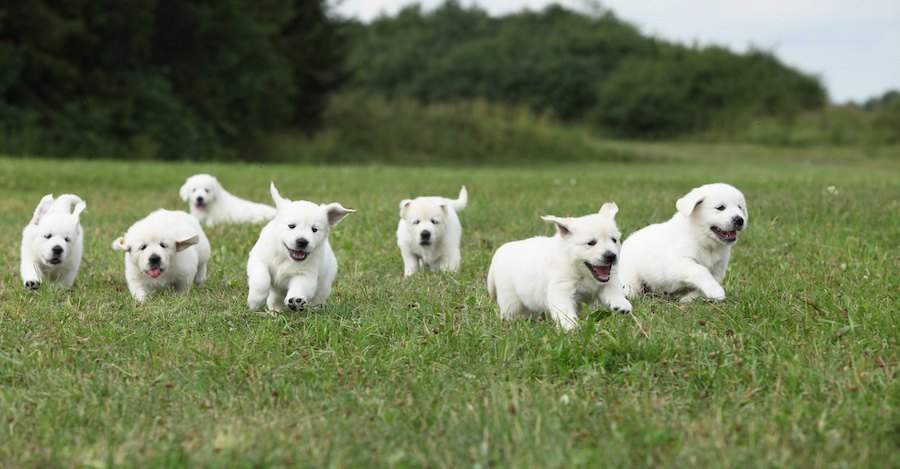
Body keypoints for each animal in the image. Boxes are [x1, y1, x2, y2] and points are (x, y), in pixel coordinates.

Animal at [486, 203, 632, 330]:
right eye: (591, 243)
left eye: (614, 240)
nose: (611, 256)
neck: (581, 271)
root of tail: (498, 253)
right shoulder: (561, 289)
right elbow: (564, 310)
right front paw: (571, 327)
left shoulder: (608, 282)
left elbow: (614, 292)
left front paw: (621, 304)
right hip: (510, 299)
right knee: (509, 313)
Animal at [620, 181, 752, 302]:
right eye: (720, 208)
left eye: (740, 207)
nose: (739, 220)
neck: (704, 241)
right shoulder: (677, 264)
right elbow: (700, 270)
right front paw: (716, 291)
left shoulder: (718, 271)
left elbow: (701, 288)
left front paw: (689, 299)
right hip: (630, 279)